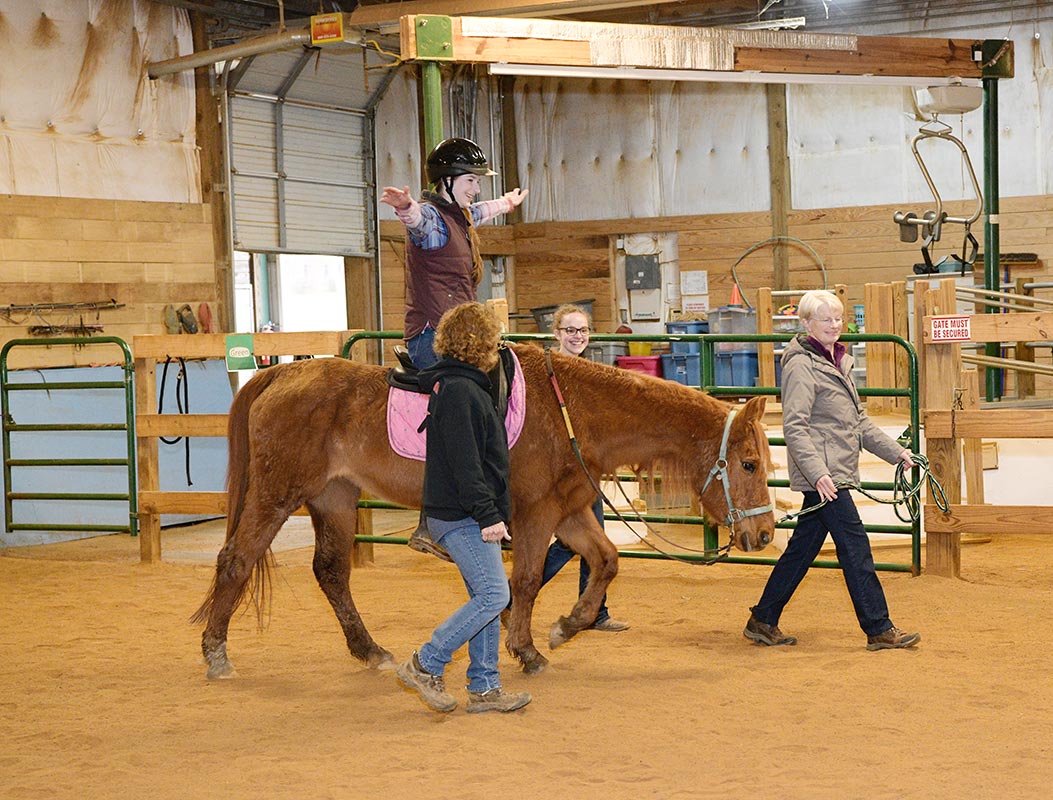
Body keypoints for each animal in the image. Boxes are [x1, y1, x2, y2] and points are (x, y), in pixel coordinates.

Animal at [195, 347, 775, 677]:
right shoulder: (536, 516)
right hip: (277, 493)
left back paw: (369, 651)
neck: (570, 410)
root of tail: (279, 377)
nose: (767, 534)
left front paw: (569, 625)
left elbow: (608, 560)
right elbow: (527, 580)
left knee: (332, 573)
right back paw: (216, 653)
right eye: (749, 463)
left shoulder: (569, 513)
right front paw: (527, 649)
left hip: (333, 497)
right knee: (236, 561)